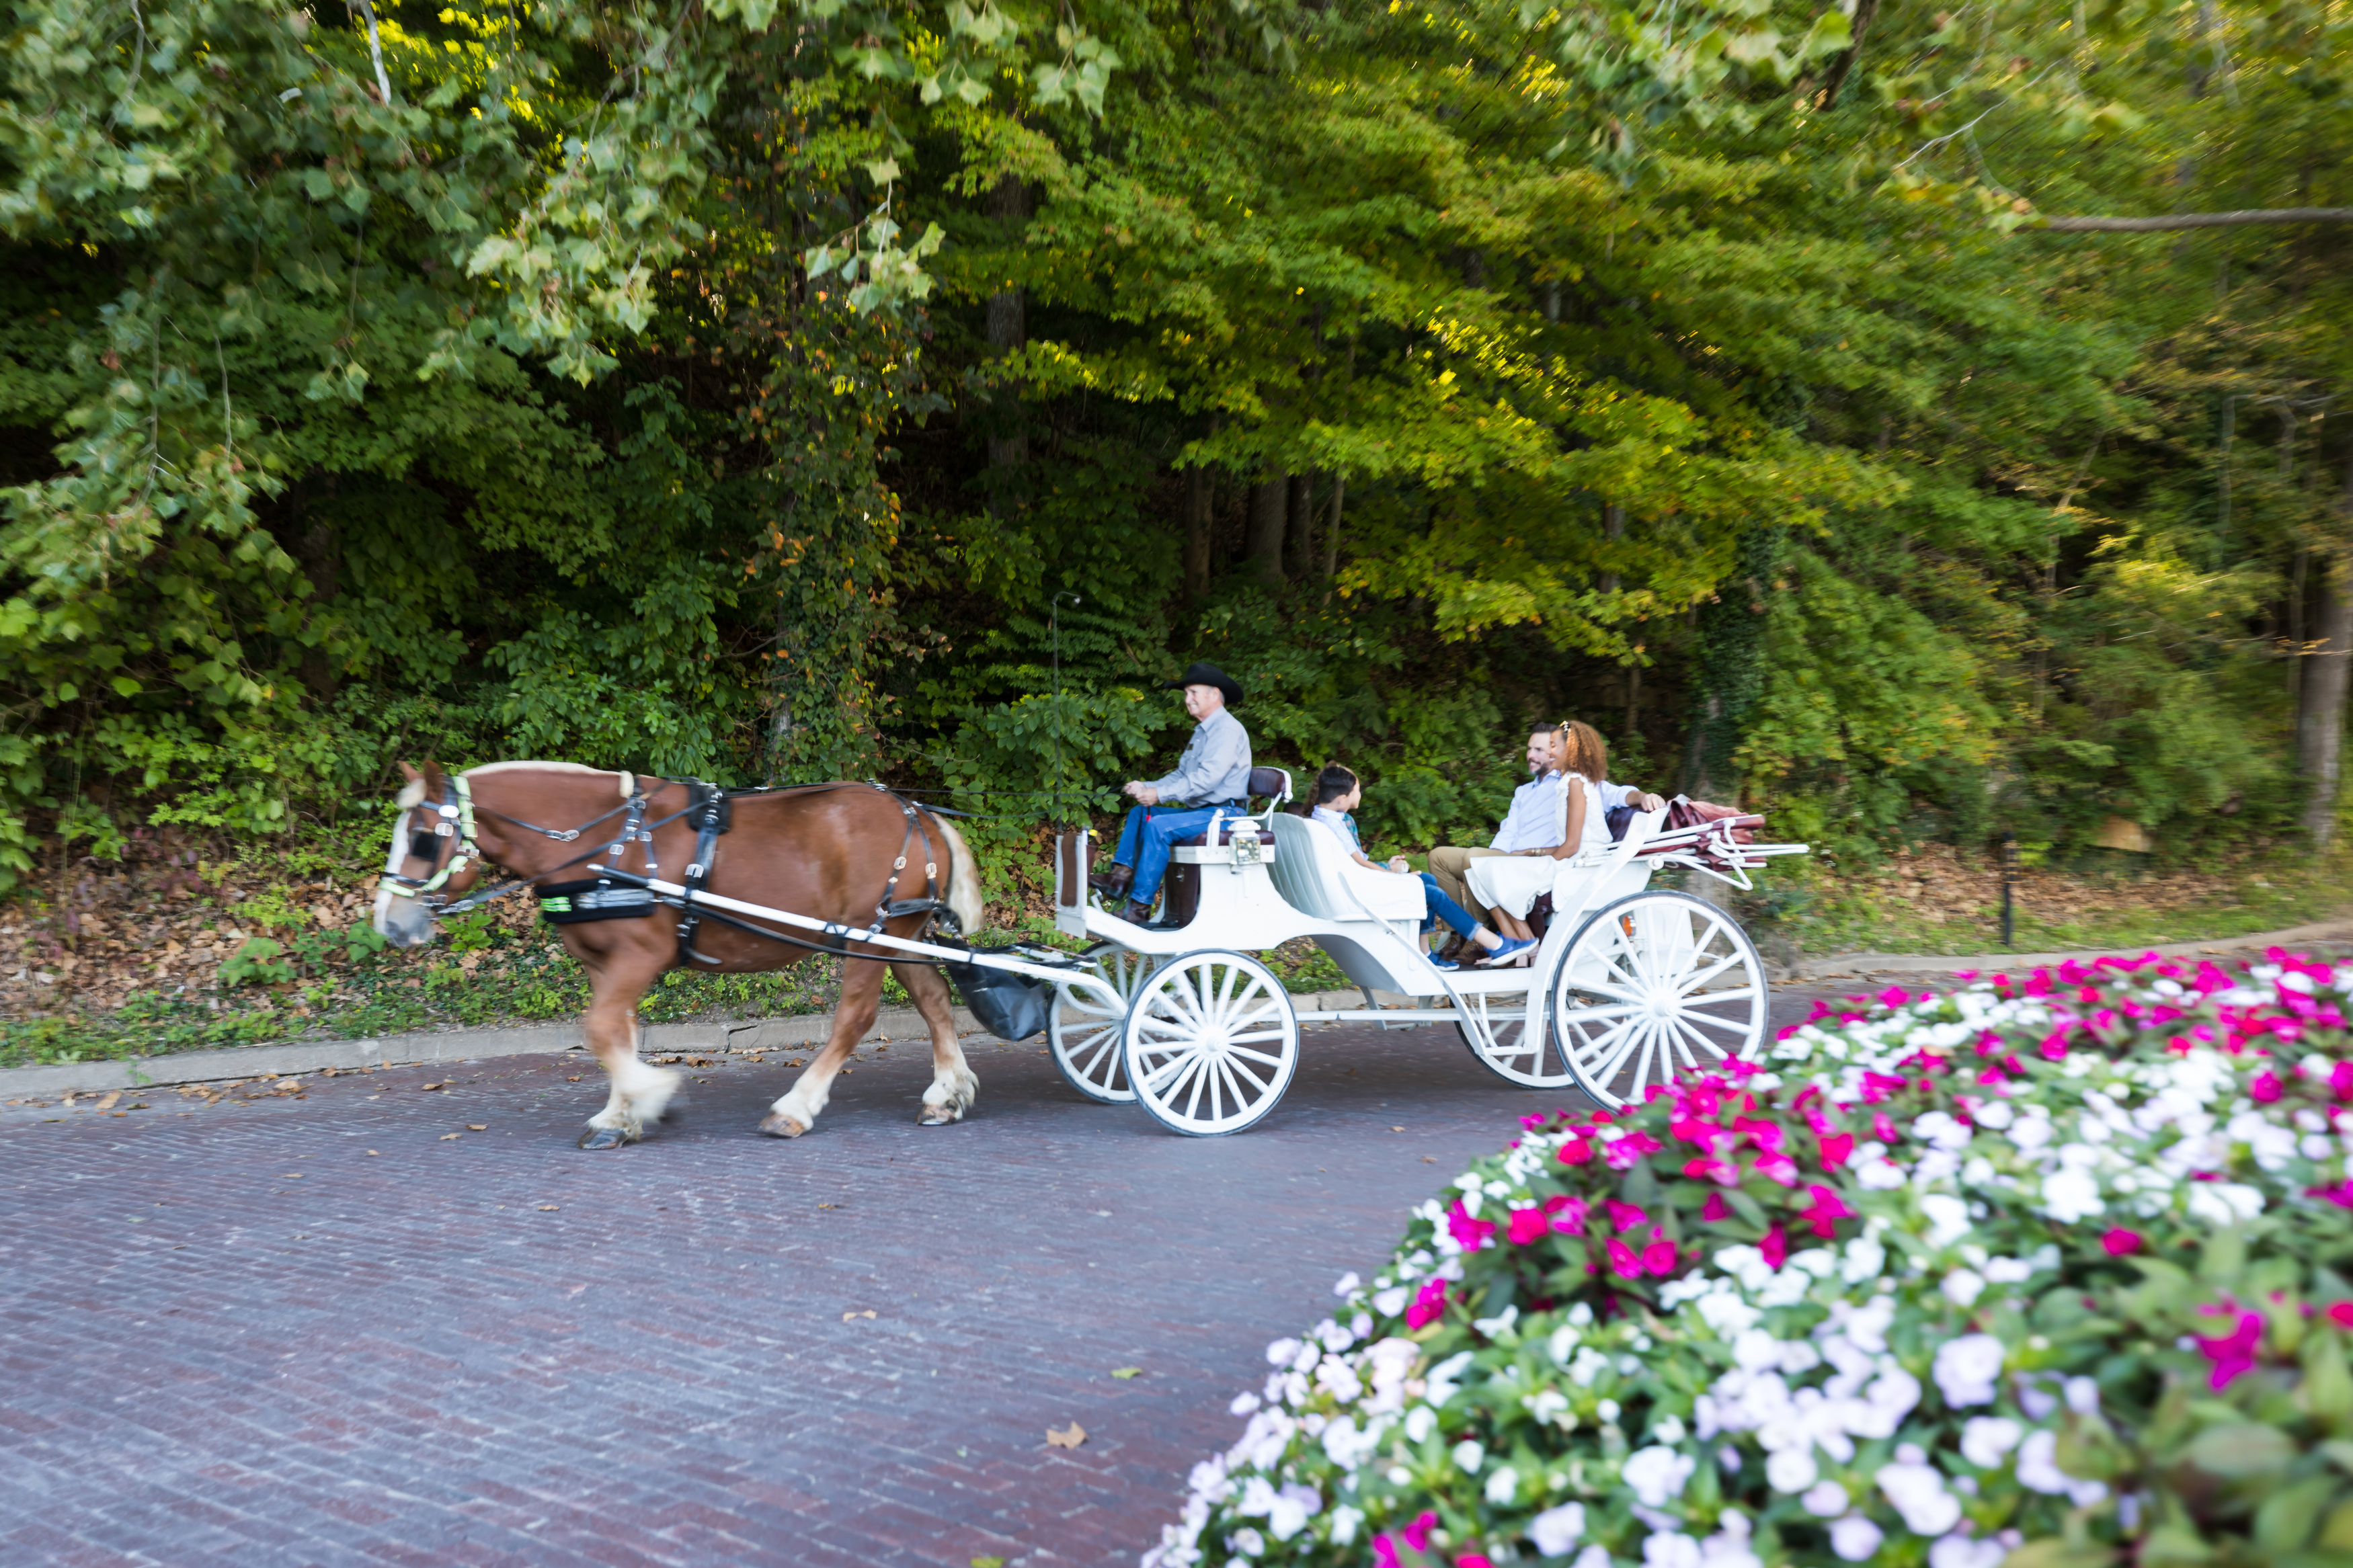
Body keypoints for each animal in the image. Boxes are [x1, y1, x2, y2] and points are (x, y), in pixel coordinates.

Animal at [364, 761, 984, 1151]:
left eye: (422, 837)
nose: (390, 924)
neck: (606, 843)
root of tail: (916, 811)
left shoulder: (640, 954)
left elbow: (600, 1029)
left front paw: (651, 1097)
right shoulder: (604, 963)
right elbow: (617, 1034)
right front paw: (621, 1117)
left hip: (868, 938)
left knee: (855, 1015)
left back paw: (794, 1108)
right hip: (896, 933)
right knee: (934, 999)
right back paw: (946, 1096)